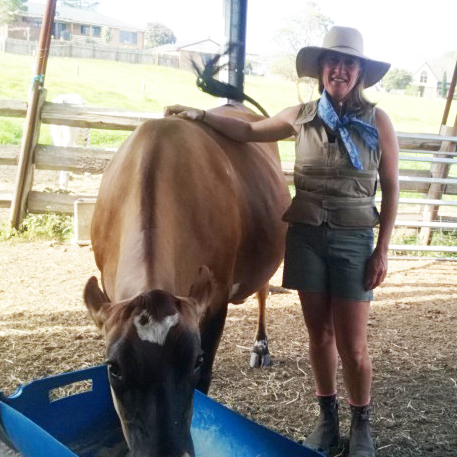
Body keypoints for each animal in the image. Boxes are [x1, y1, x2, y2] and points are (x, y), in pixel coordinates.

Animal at [82, 75, 288, 456]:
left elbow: (204, 381)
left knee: (263, 291)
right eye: (113, 368)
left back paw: (260, 347)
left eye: (194, 361)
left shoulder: (216, 297)